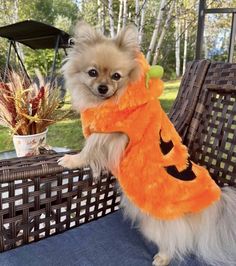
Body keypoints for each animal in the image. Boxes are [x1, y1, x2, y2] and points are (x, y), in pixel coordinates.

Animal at [57, 21, 236, 264]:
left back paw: (163, 257)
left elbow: (88, 149)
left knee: (175, 240)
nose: (103, 87)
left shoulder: (110, 133)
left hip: (154, 222)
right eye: (92, 72)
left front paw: (71, 160)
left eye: (116, 76)